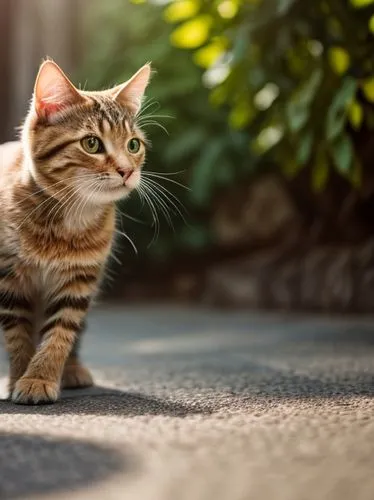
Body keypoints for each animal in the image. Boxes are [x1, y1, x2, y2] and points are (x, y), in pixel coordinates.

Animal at [0, 60, 152, 404]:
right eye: (91, 143)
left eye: (133, 144)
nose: (127, 170)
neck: (67, 219)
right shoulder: (9, 279)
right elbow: (17, 334)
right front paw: (19, 376)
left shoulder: (79, 279)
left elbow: (60, 331)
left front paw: (41, 376)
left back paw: (71, 369)